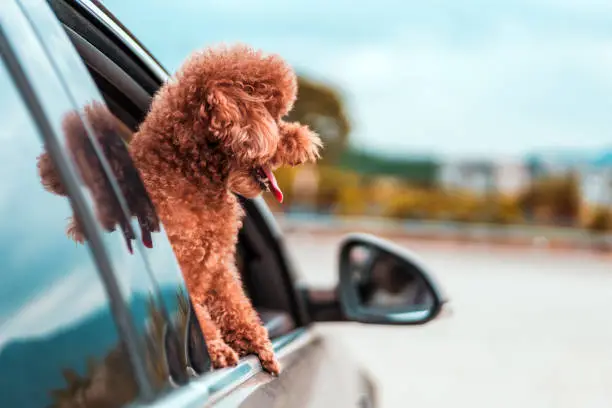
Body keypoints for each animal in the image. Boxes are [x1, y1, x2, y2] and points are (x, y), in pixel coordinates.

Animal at [38, 43, 322, 372]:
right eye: (274, 116)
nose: (309, 143)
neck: (188, 172)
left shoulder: (218, 266)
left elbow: (236, 304)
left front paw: (257, 343)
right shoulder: (185, 267)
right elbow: (201, 314)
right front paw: (216, 349)